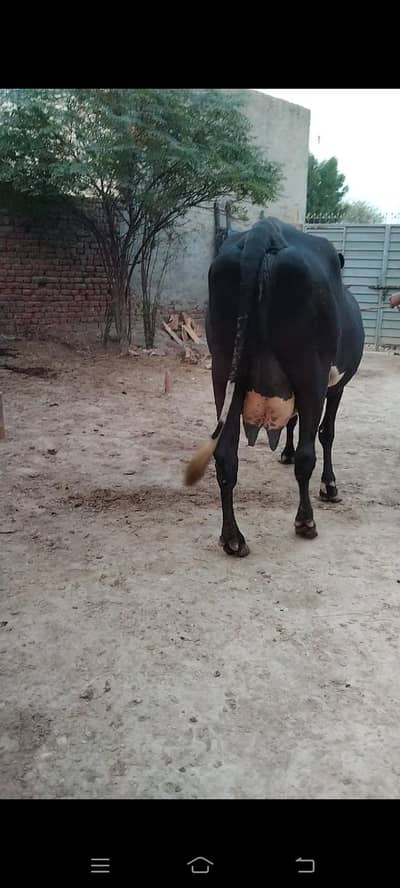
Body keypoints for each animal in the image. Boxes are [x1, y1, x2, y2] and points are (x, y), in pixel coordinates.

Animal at [184, 217, 364, 556]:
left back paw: (232, 537)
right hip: (310, 371)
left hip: (224, 369)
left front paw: (285, 452)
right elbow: (326, 433)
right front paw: (329, 485)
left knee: (225, 456)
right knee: (308, 454)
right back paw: (305, 521)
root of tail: (266, 230)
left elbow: (292, 421)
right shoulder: (336, 386)